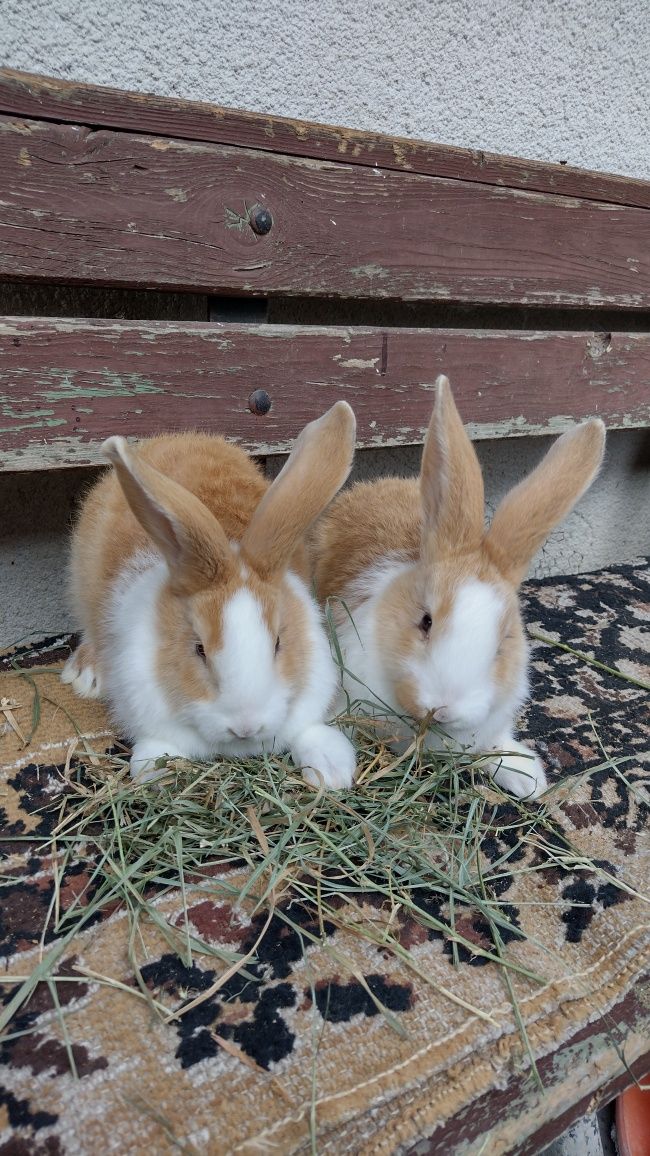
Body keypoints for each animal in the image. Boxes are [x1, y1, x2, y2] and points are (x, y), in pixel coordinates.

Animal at [61, 402, 356, 790]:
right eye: (199, 649)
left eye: (279, 643)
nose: (246, 727)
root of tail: (181, 436)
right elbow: (156, 750)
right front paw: (158, 770)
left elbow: (310, 732)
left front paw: (332, 773)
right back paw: (87, 675)